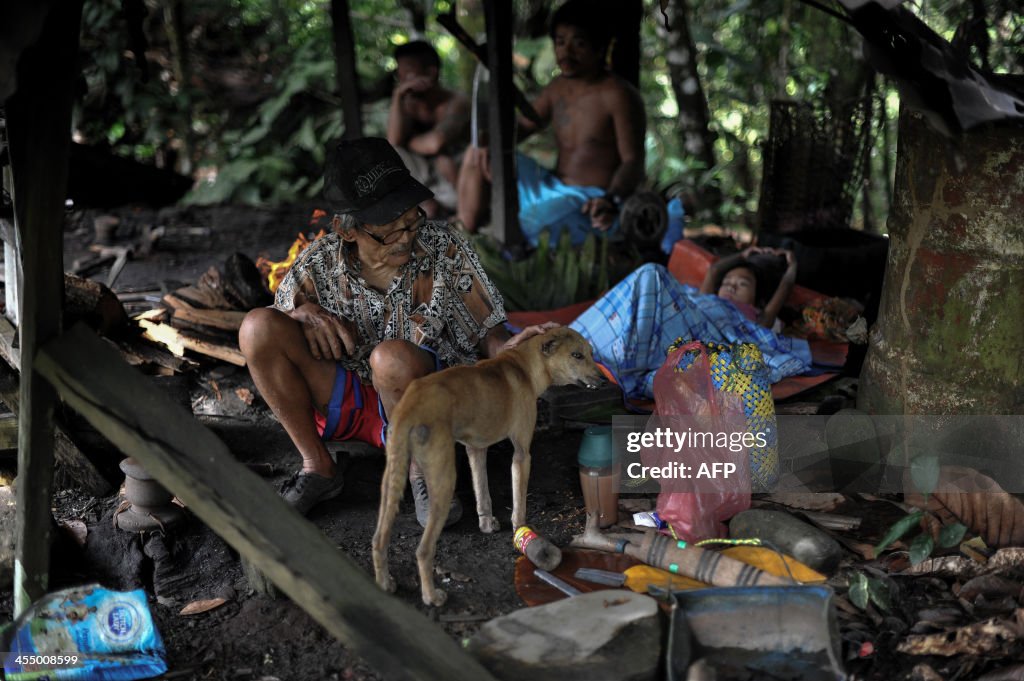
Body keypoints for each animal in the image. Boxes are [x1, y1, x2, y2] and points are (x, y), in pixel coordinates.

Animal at [372, 327, 602, 602]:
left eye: (590, 353)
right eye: (577, 355)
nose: (602, 381)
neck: (524, 366)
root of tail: (411, 405)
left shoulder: (476, 449)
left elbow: (482, 492)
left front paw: (486, 524)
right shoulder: (522, 454)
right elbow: (519, 503)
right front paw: (520, 531)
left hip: (391, 481)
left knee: (378, 539)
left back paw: (384, 582)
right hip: (442, 481)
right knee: (423, 550)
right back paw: (432, 596)